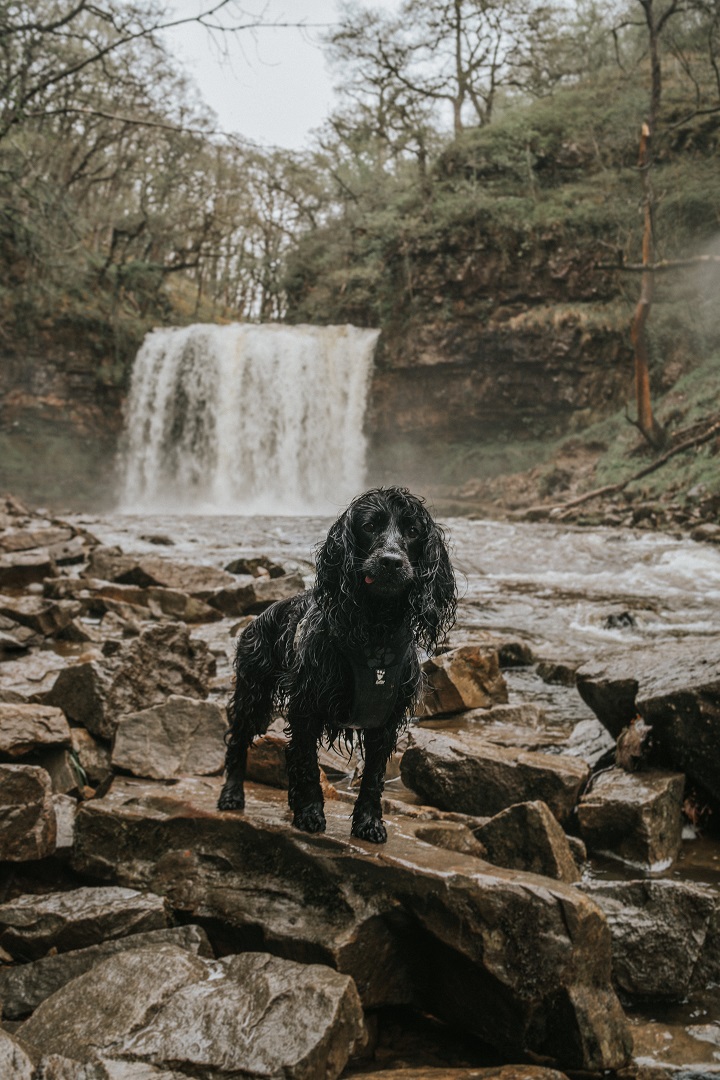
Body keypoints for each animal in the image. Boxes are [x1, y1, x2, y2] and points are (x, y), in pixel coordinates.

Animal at [218, 488, 455, 842]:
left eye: (413, 531)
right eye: (369, 526)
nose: (391, 562)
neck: (375, 631)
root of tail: (261, 615)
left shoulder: (386, 719)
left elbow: (373, 776)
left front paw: (369, 823)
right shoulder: (307, 708)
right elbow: (307, 764)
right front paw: (310, 813)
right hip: (253, 694)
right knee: (238, 742)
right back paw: (232, 794)